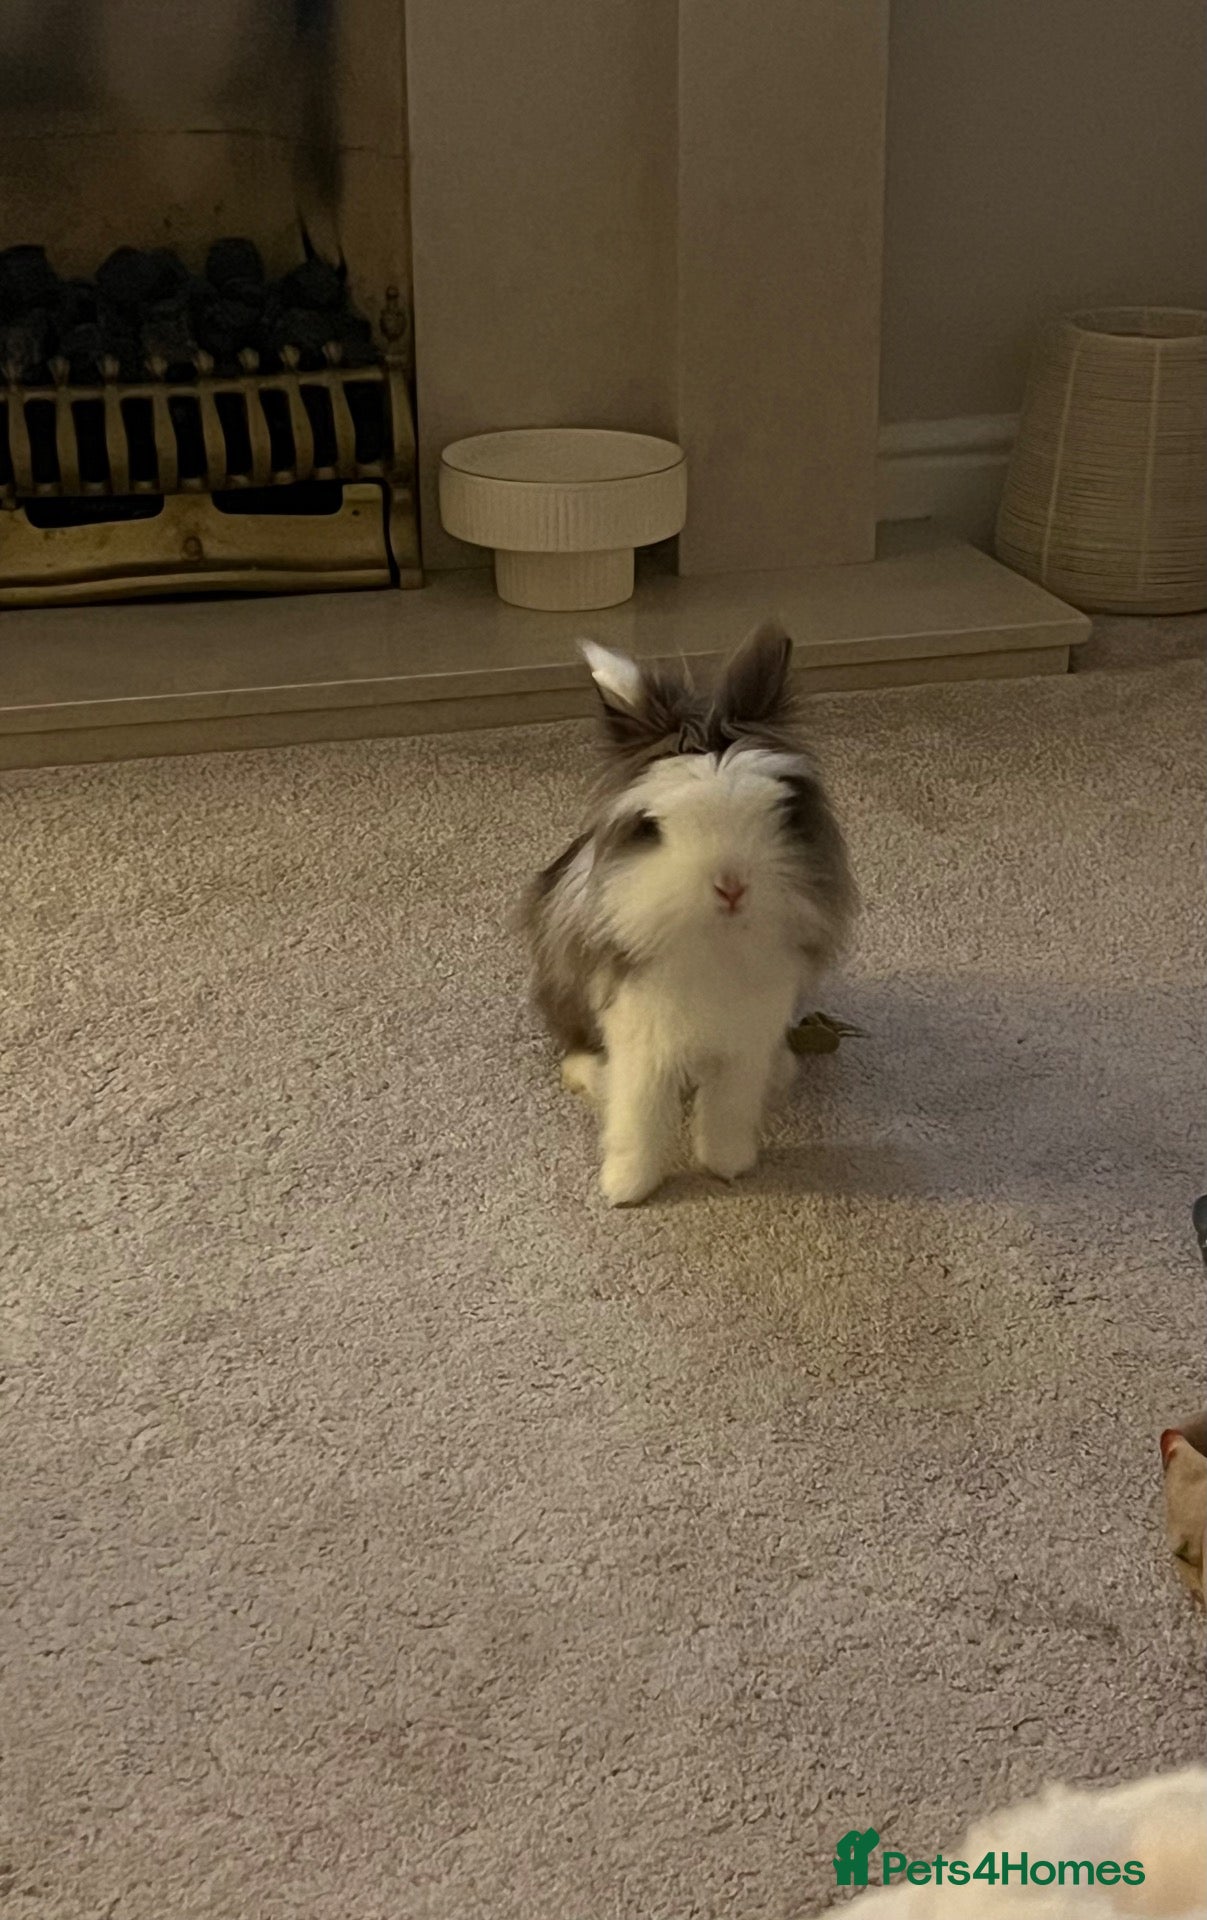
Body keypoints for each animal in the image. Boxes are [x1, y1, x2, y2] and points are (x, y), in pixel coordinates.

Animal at [522, 620, 856, 1205]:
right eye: (654, 826)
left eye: (780, 811)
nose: (731, 886)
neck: (714, 939)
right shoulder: (641, 1037)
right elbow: (638, 1115)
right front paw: (625, 1189)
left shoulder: (745, 1040)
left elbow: (727, 1110)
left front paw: (727, 1166)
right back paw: (591, 1077)